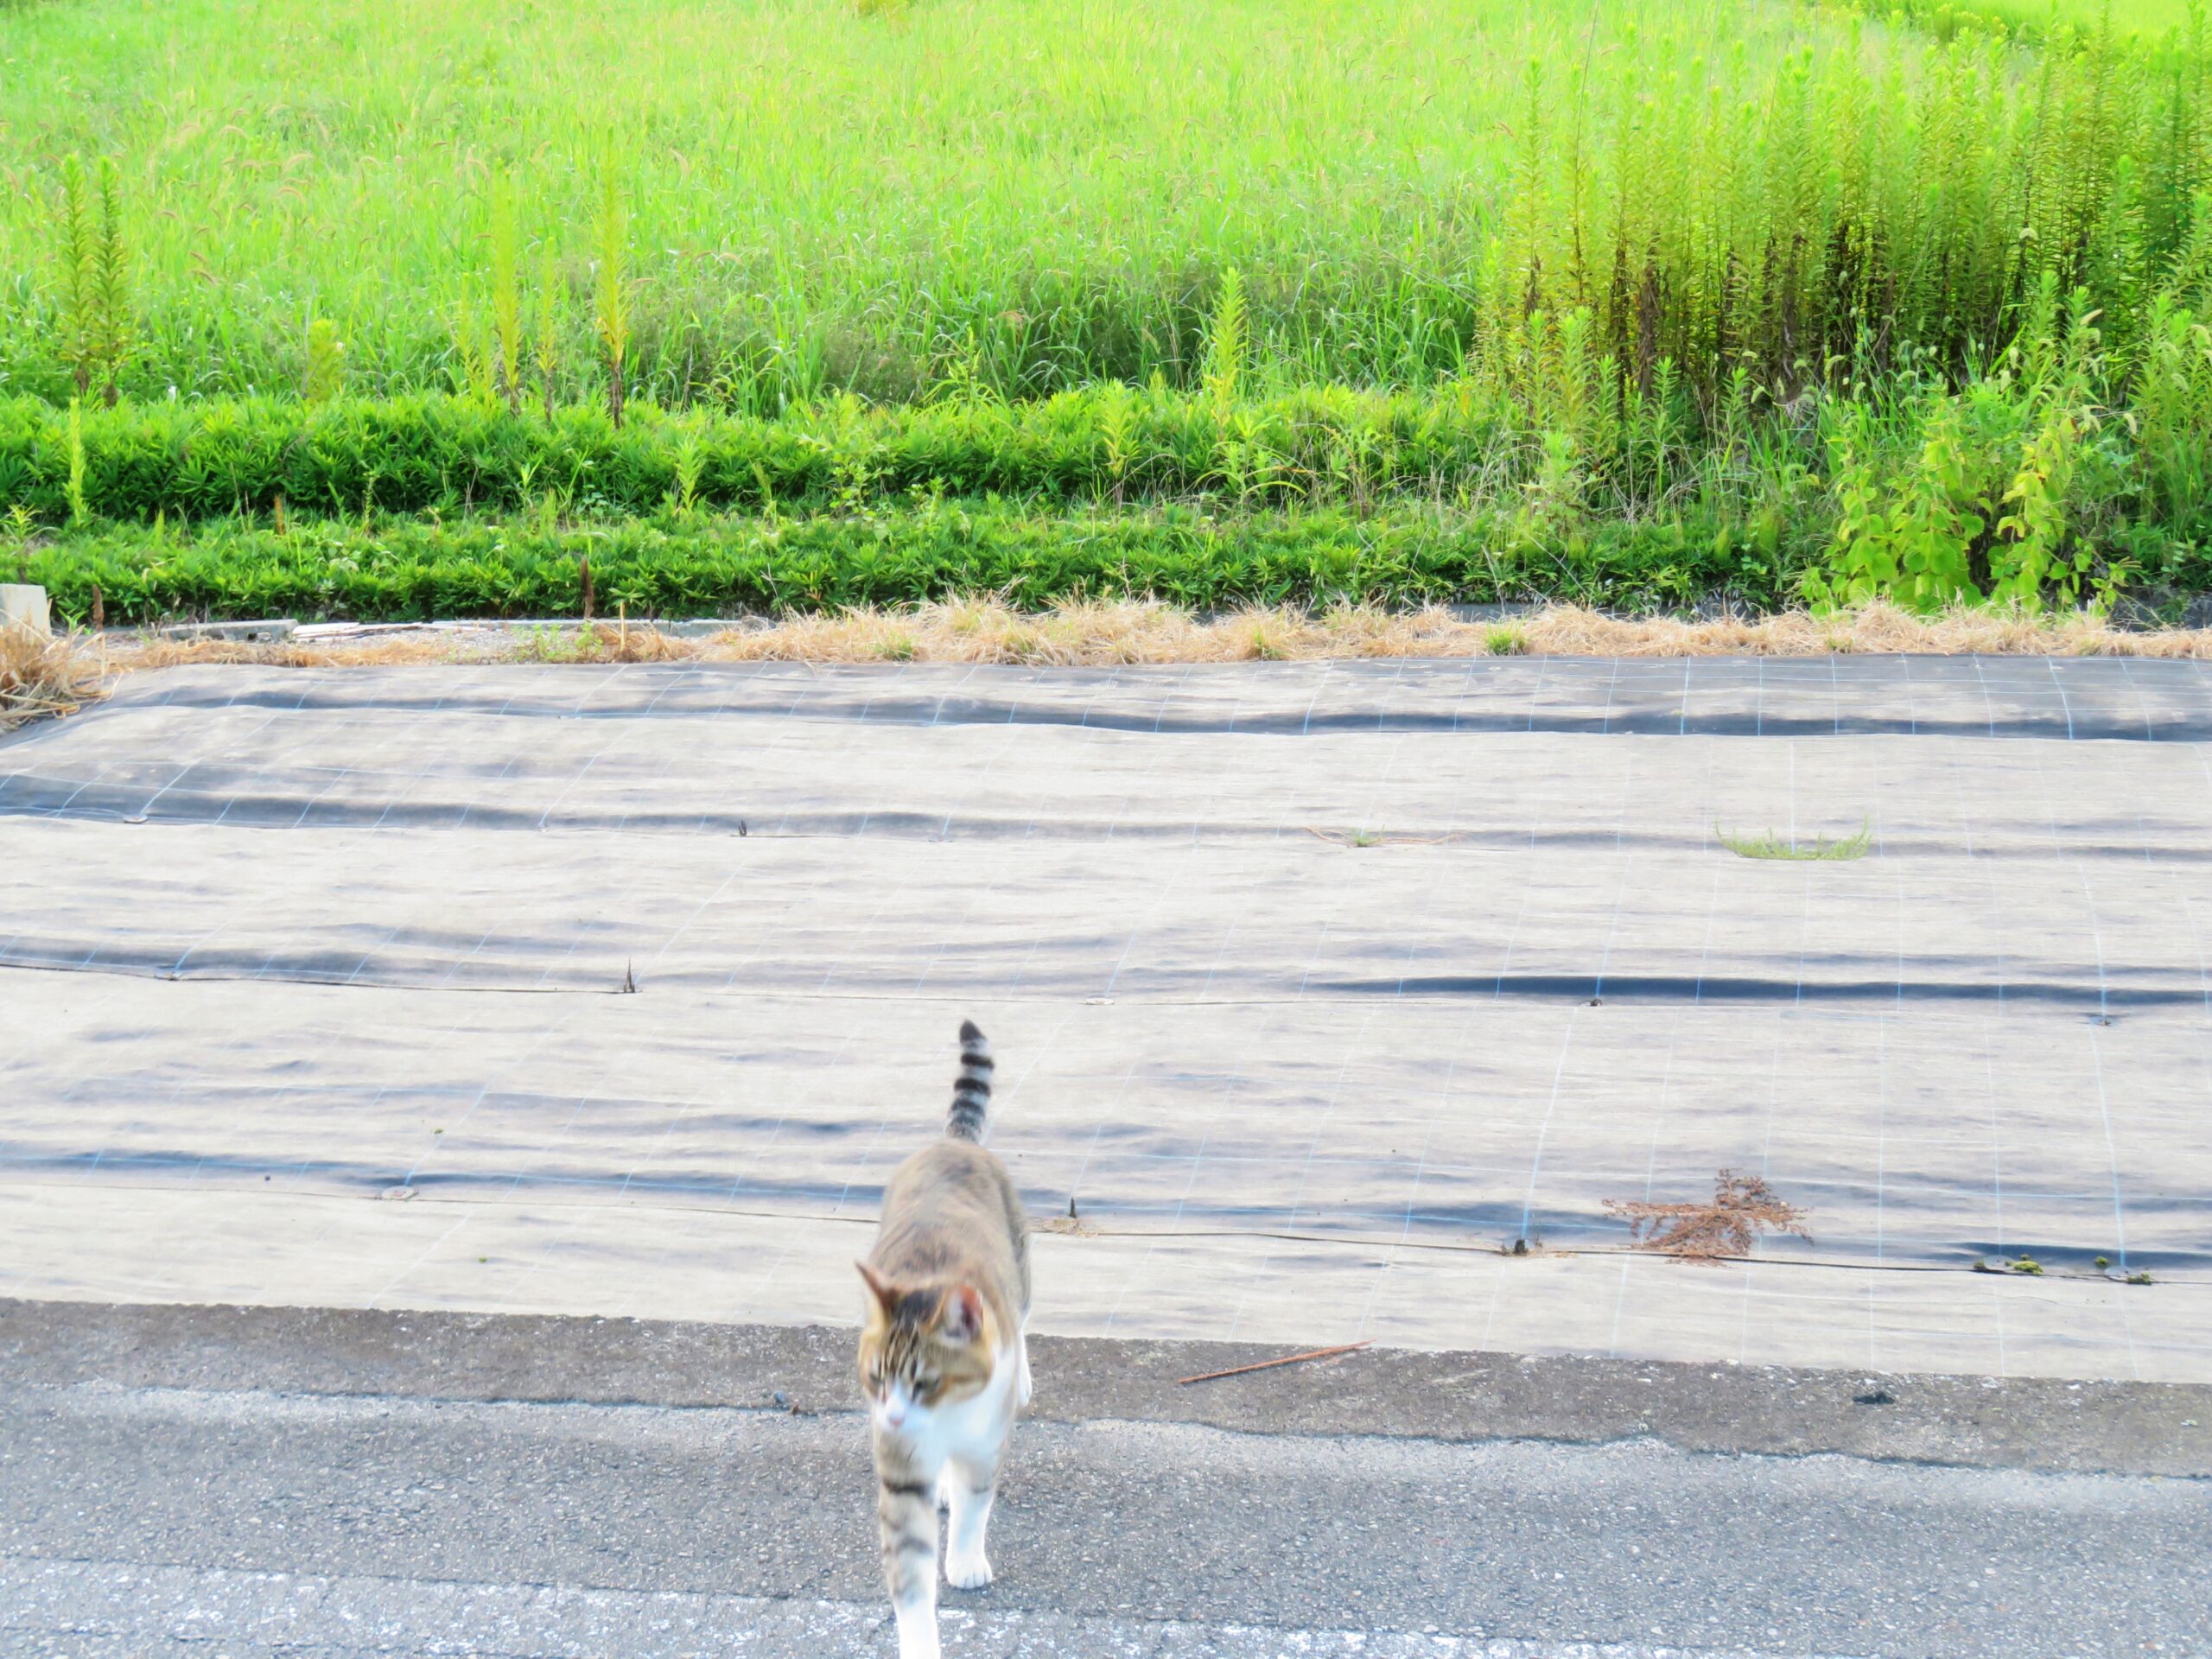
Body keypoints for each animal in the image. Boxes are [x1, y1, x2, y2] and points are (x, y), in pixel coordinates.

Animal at [862, 1021, 1035, 1659]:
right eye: (876, 1378)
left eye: (928, 1381)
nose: (892, 1417)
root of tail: (952, 1144)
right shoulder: (900, 1465)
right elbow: (910, 1571)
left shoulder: (985, 1444)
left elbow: (974, 1507)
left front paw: (964, 1561)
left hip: (1020, 1265)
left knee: (1026, 1318)